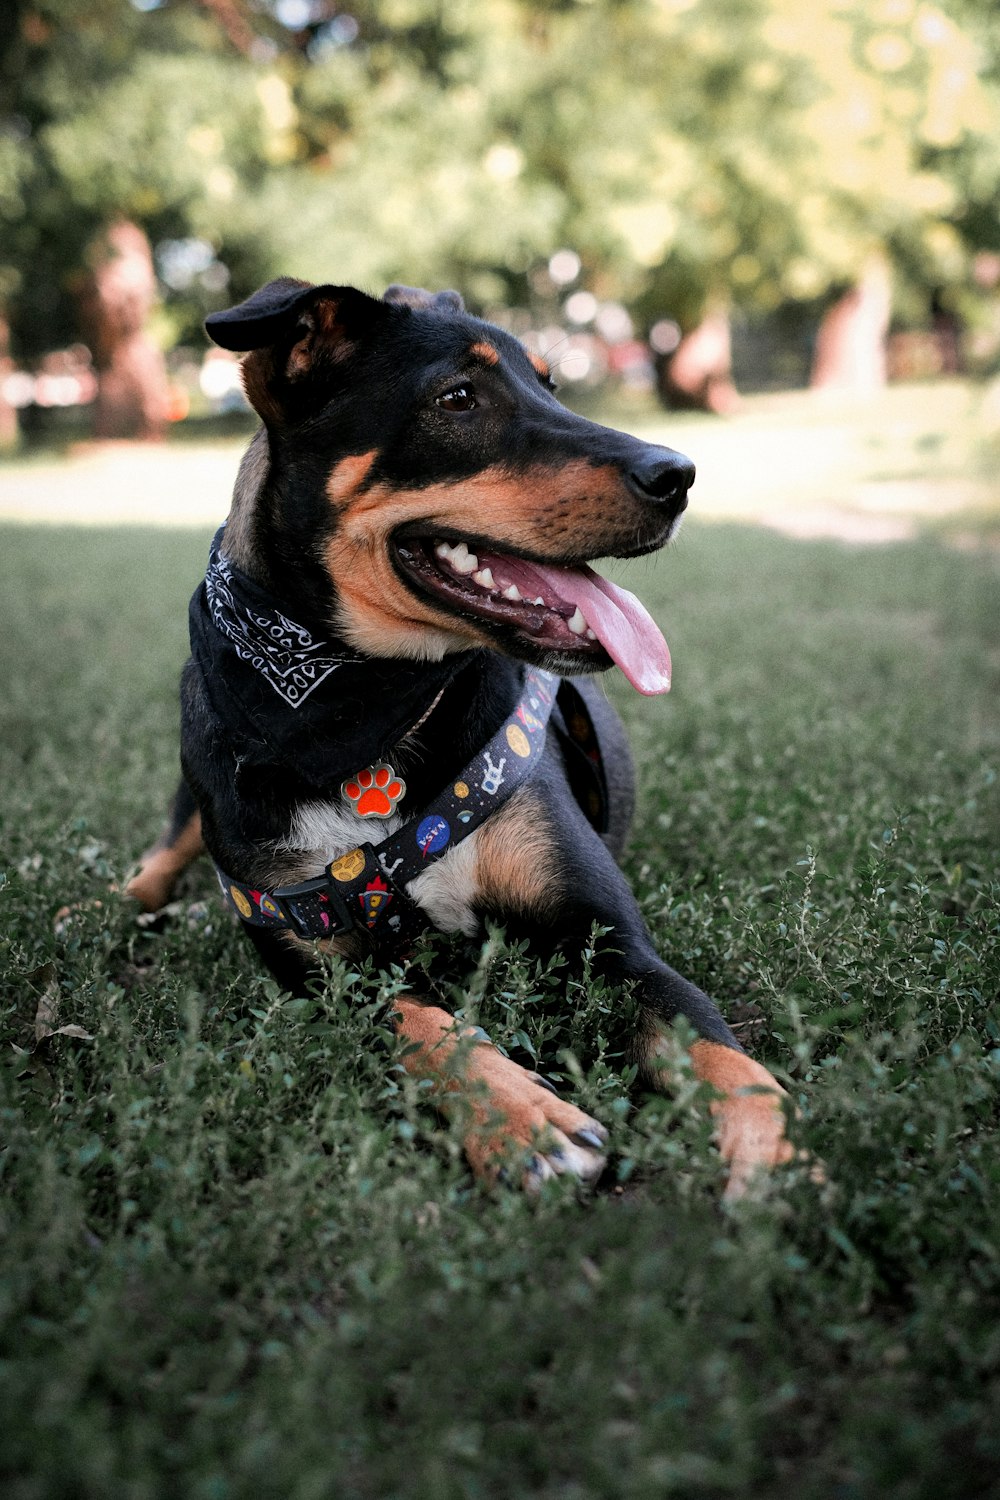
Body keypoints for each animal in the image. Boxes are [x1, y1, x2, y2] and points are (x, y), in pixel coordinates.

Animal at [128, 276, 791, 1200]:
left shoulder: (611, 938)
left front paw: (776, 1159)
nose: (681, 475)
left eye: (552, 383)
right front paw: (524, 1121)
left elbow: (719, 1049)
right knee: (165, 849)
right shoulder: (317, 964)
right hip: (197, 789)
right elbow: (420, 1020)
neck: (368, 712)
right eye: (458, 398)